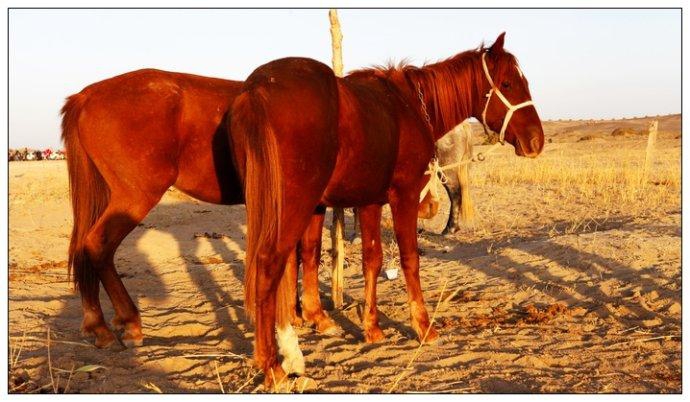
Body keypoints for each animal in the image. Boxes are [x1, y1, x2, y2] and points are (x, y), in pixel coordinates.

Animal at [231, 33, 544, 384]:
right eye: (507, 83)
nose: (536, 141)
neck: (410, 107)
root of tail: (258, 88)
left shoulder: (369, 202)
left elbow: (372, 260)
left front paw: (372, 328)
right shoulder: (404, 196)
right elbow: (410, 259)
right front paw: (423, 326)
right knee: (269, 265)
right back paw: (273, 363)